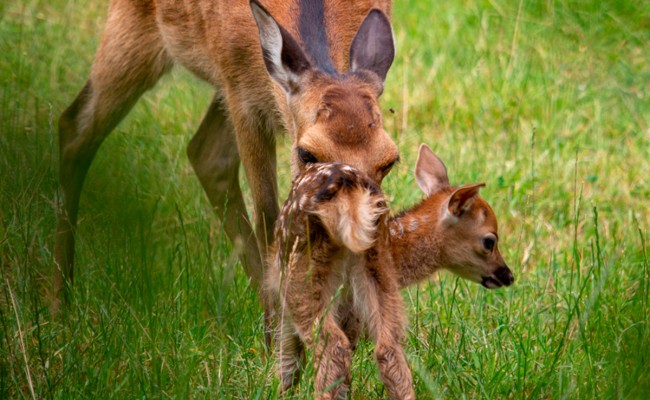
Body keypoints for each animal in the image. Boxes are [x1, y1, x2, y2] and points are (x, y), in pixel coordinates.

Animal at [53, 0, 394, 312]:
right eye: (306, 153)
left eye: (390, 160)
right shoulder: (241, 94)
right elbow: (268, 222)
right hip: (134, 27)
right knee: (75, 126)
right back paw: (61, 307)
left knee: (205, 153)